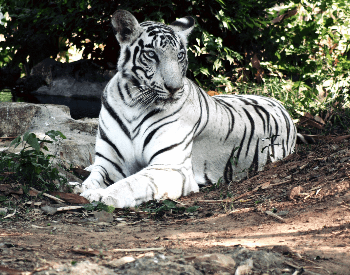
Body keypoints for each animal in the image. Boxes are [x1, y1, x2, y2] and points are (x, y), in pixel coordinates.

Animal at [75, 10, 296, 209]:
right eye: (152, 54)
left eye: (180, 56)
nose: (174, 88)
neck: (134, 103)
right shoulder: (109, 163)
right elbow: (94, 179)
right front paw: (86, 189)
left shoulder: (170, 167)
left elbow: (132, 183)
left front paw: (103, 195)